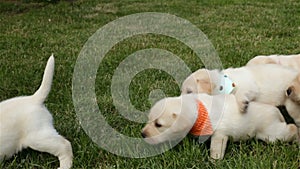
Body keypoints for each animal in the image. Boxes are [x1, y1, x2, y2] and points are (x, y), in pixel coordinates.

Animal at [141, 93, 300, 160]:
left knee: (291, 128)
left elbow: (216, 148)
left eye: (158, 124)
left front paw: (214, 161)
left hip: (271, 134)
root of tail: (276, 111)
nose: (142, 134)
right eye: (149, 120)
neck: (200, 111)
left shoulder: (220, 134)